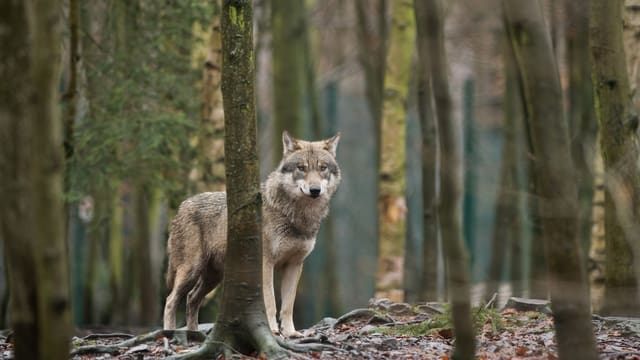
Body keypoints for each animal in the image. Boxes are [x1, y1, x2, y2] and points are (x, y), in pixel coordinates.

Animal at [164, 131, 340, 338]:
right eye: (301, 168)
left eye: (322, 168)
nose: (315, 190)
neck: (297, 215)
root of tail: (182, 205)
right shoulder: (266, 263)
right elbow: (270, 302)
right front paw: (272, 330)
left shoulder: (295, 265)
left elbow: (288, 305)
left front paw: (290, 333)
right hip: (191, 270)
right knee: (171, 300)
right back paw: (169, 333)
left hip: (213, 277)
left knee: (191, 299)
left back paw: (194, 334)